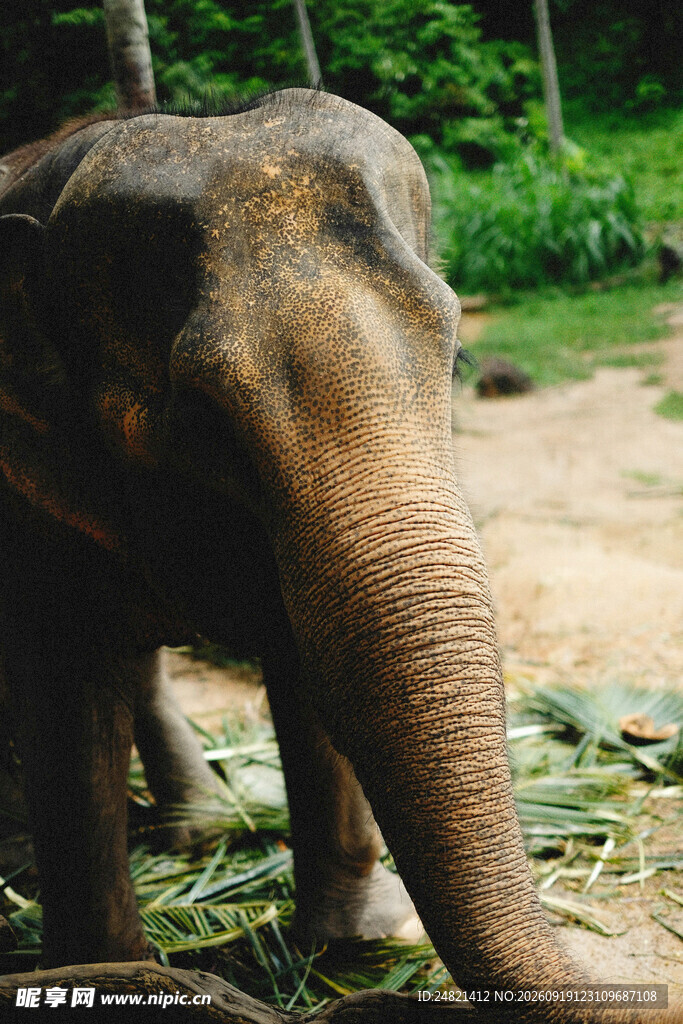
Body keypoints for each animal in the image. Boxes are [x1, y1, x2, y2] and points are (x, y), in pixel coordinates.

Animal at [0, 88, 677, 1022]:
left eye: (456, 358)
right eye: (202, 419)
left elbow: (306, 656)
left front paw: (356, 940)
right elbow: (65, 696)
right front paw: (106, 977)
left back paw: (199, 829)